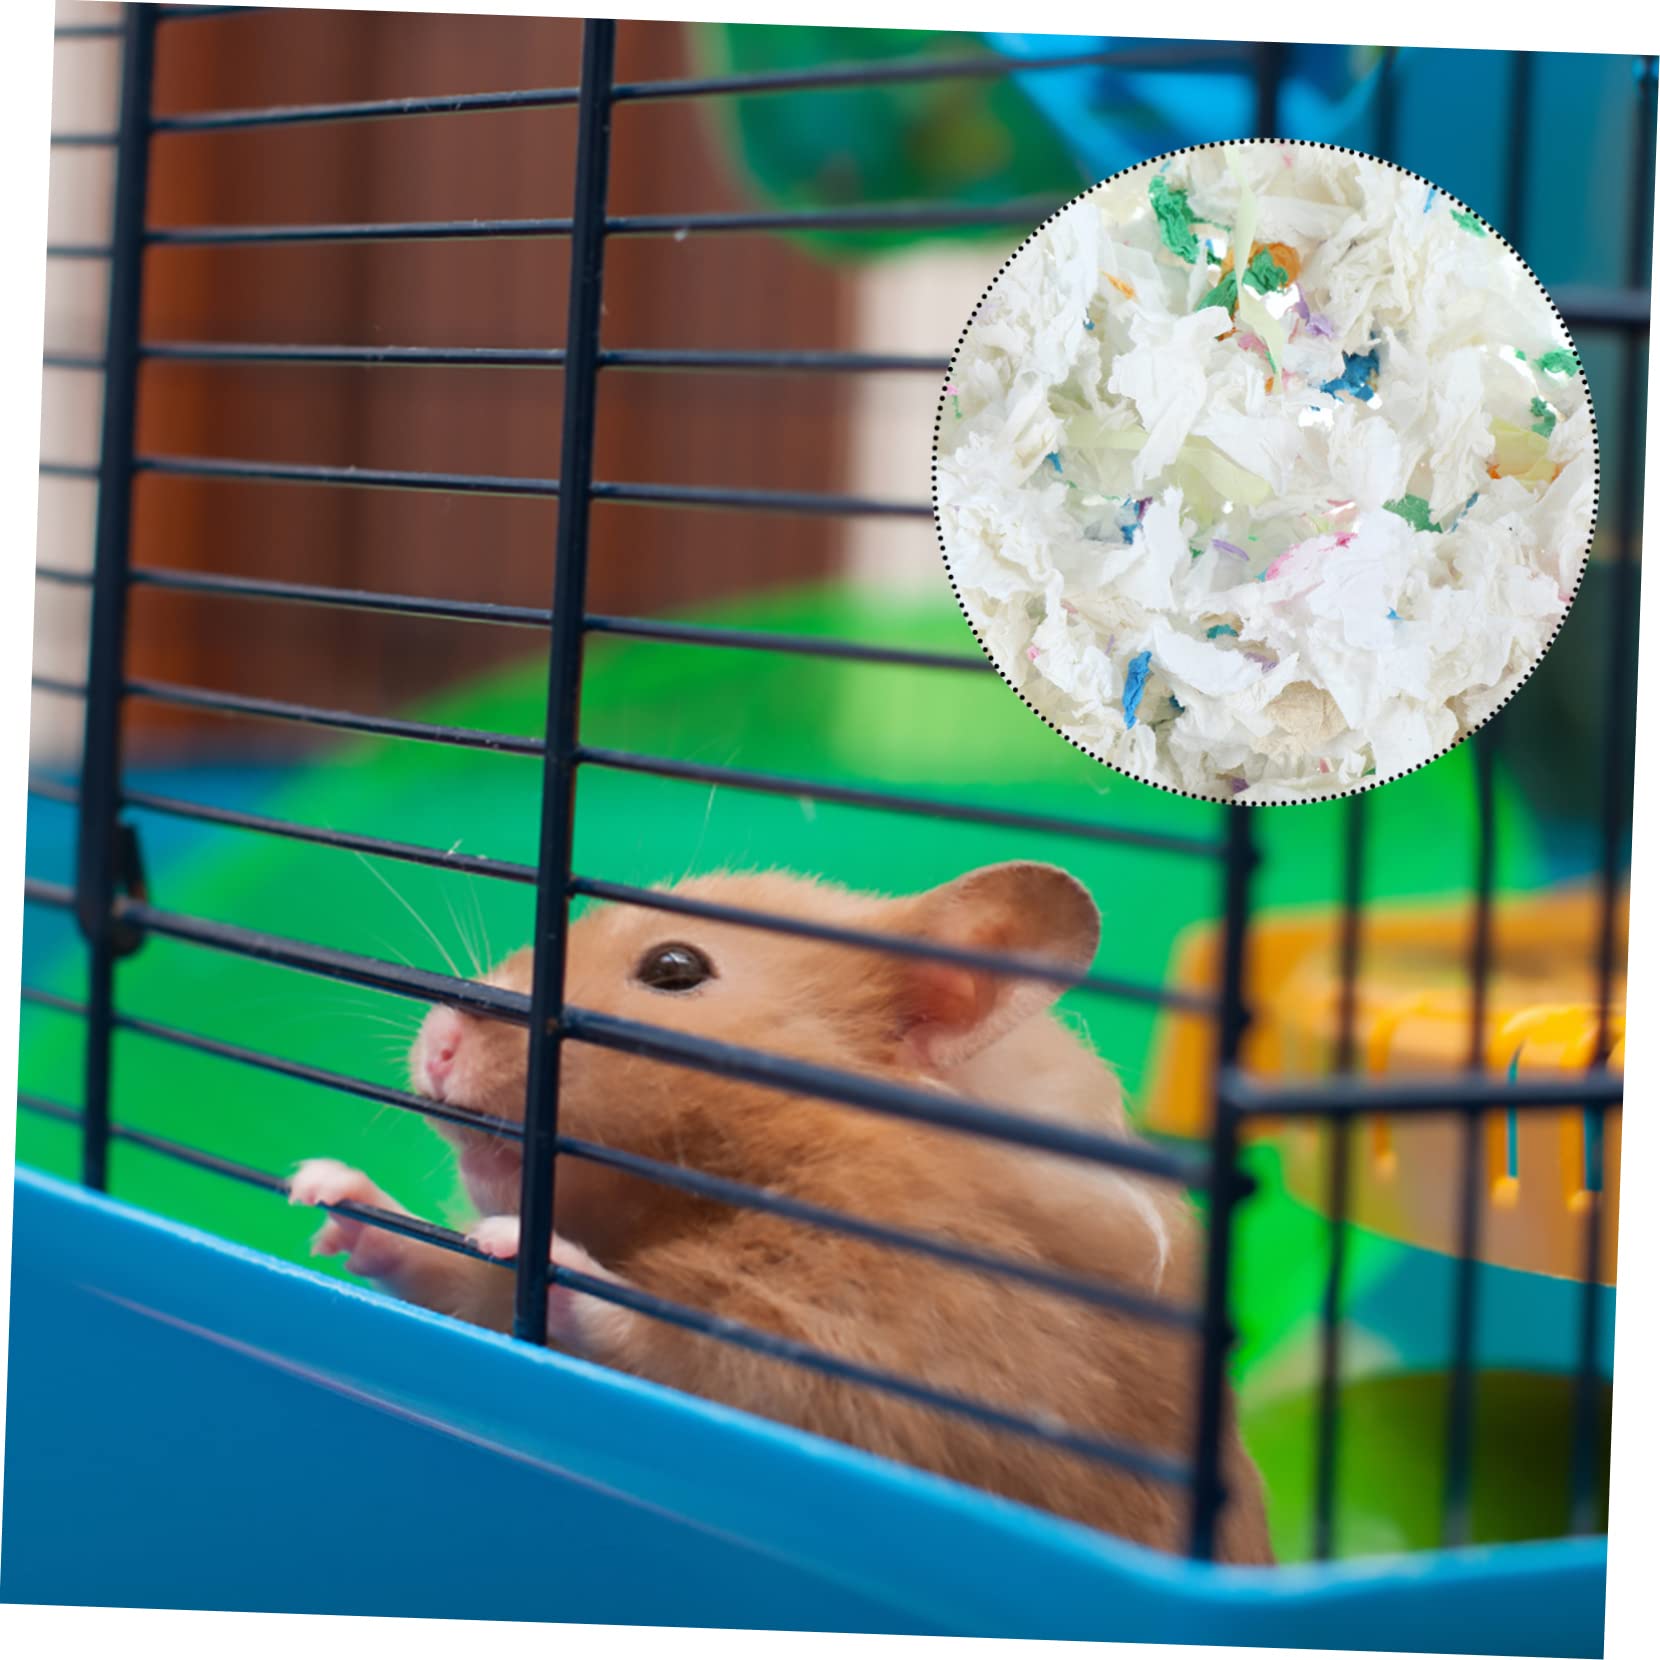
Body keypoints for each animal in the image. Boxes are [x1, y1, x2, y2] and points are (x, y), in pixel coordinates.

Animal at [291, 860, 1273, 1563]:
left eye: (674, 968)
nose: (436, 1040)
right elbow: (456, 1278)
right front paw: (325, 1191)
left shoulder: (899, 1358)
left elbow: (685, 1344)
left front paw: (529, 1244)